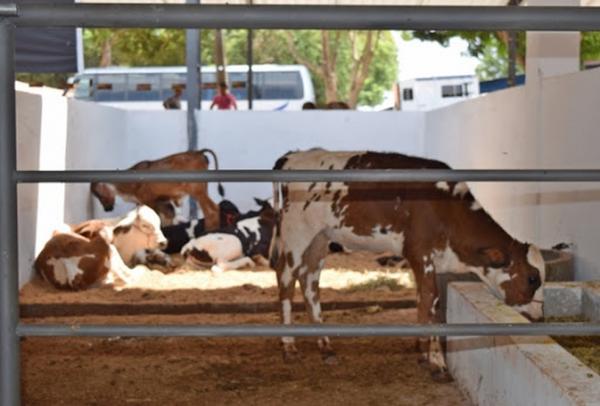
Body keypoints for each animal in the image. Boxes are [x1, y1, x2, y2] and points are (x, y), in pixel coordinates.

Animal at [91, 151, 225, 230]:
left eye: (98, 194)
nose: (107, 208)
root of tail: (199, 153)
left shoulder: (149, 200)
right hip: (202, 190)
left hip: (197, 191)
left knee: (211, 210)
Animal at [270, 149, 548, 380]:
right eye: (532, 278)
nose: (539, 317)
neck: (448, 210)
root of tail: (294, 155)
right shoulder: (420, 253)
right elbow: (431, 300)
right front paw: (437, 362)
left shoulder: (424, 260)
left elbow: (421, 299)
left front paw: (422, 353)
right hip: (296, 235)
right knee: (286, 279)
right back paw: (288, 346)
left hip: (320, 240)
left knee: (309, 282)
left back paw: (325, 346)